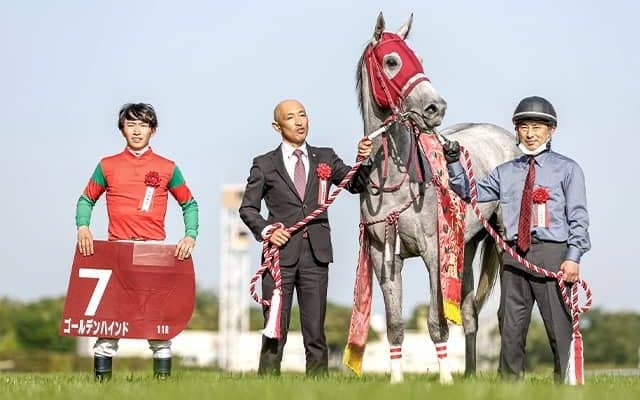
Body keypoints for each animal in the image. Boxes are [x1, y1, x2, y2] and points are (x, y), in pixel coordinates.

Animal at [350, 13, 521, 384]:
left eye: (419, 59)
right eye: (392, 61)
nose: (435, 107)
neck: (398, 179)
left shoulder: (433, 252)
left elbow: (436, 322)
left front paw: (444, 379)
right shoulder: (383, 255)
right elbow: (395, 325)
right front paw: (396, 379)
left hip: (502, 241)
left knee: (504, 314)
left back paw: (505, 373)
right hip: (466, 245)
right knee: (470, 312)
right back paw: (470, 374)